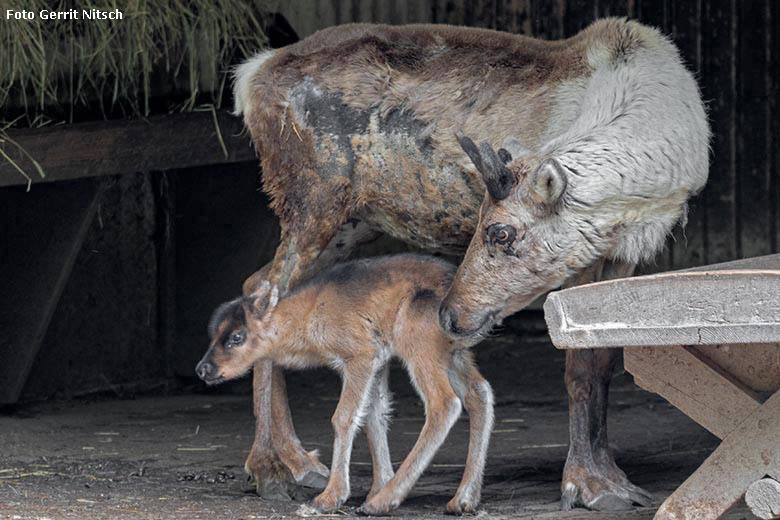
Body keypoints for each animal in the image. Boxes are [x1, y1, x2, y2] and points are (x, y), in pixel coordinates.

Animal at [198, 254, 496, 512]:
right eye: (213, 335)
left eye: (237, 337)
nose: (203, 369)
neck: (309, 313)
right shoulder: (379, 362)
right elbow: (375, 415)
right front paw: (377, 486)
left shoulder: (359, 357)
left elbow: (344, 417)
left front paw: (331, 497)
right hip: (454, 355)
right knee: (479, 393)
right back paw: (462, 500)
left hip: (419, 346)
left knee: (444, 403)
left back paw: (383, 503)